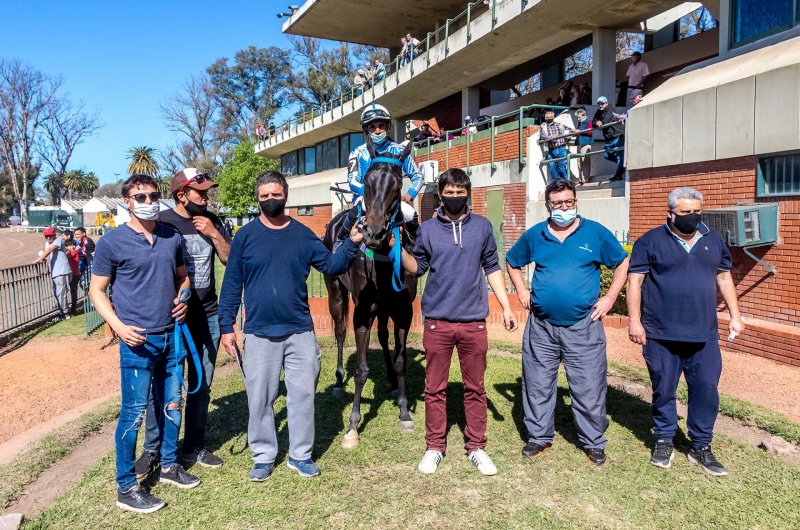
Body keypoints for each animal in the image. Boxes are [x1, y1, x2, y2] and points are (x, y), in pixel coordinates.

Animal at [322, 139, 418, 446]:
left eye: (398, 185)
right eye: (366, 181)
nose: (373, 233)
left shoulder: (403, 311)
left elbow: (401, 361)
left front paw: (404, 412)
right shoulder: (362, 312)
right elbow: (361, 369)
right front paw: (353, 426)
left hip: (384, 309)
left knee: (384, 337)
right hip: (336, 292)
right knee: (340, 332)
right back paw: (338, 381)